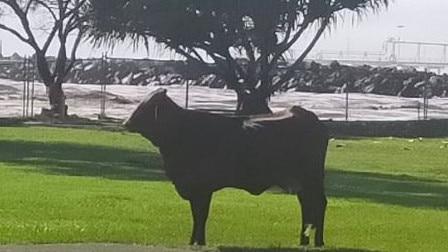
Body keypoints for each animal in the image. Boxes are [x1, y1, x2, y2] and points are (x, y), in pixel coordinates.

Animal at [122, 88, 328, 246]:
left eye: (146, 106)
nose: (126, 123)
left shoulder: (202, 188)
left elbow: (200, 215)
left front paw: (199, 242)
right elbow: (196, 215)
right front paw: (193, 241)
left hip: (313, 177)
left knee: (319, 203)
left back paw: (318, 242)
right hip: (303, 182)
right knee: (306, 205)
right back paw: (303, 241)